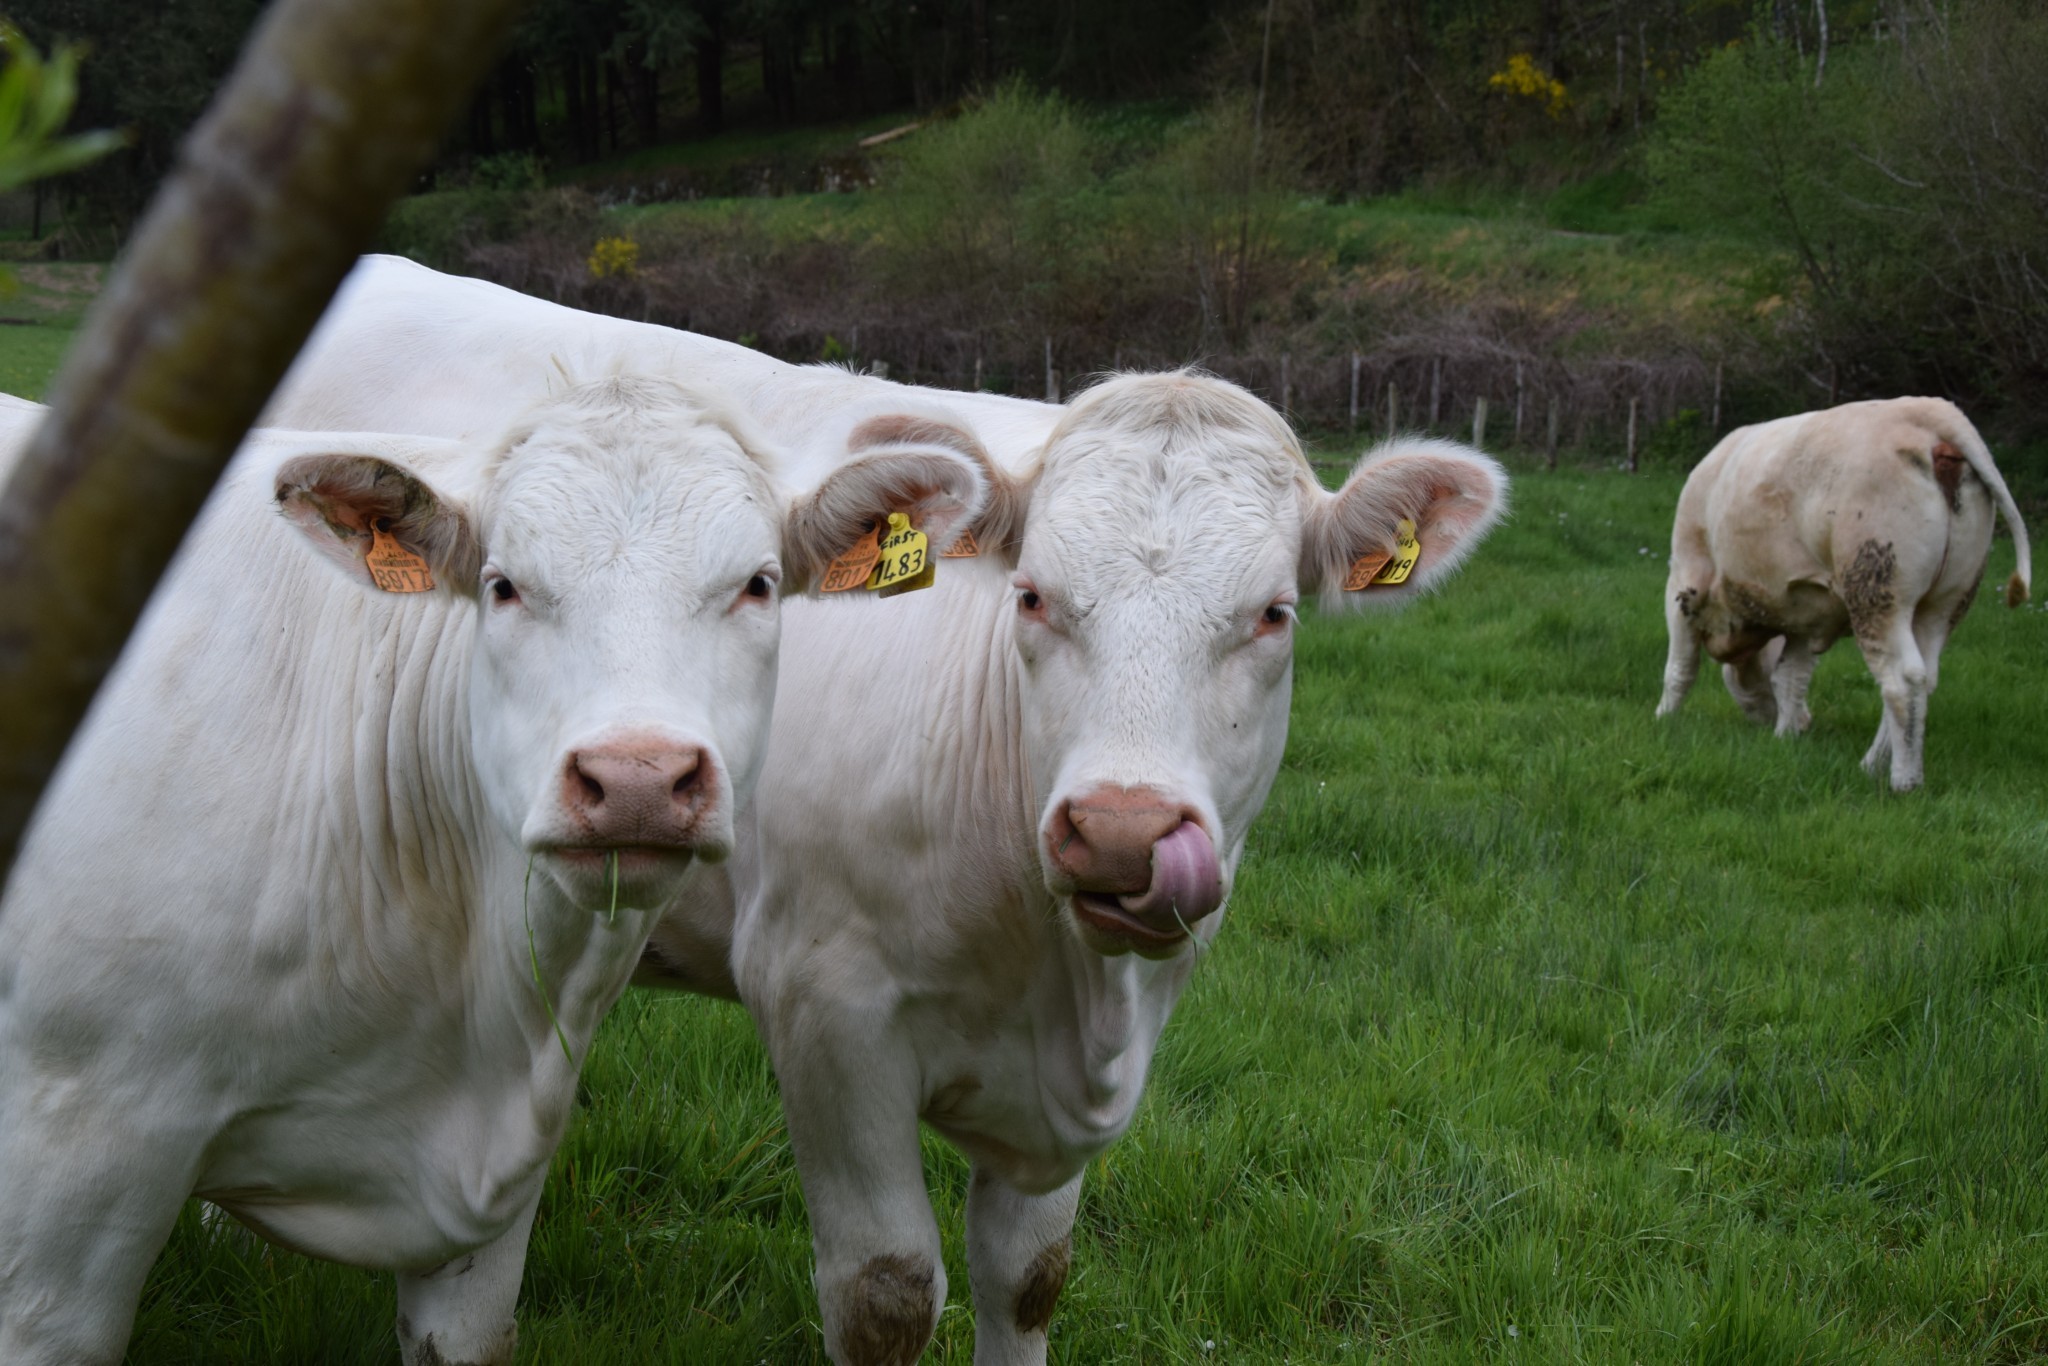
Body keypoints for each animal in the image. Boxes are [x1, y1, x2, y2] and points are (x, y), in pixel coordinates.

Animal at [1654, 395, 2023, 790]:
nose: (1805, 724)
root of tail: (1930, 411)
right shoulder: (1806, 614)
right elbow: (1789, 678)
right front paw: (1786, 737)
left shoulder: (1685, 582)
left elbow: (1680, 668)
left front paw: (1664, 720)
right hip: (1944, 603)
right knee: (1922, 679)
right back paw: (1871, 765)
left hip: (1877, 591)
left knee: (1903, 681)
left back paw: (1903, 782)